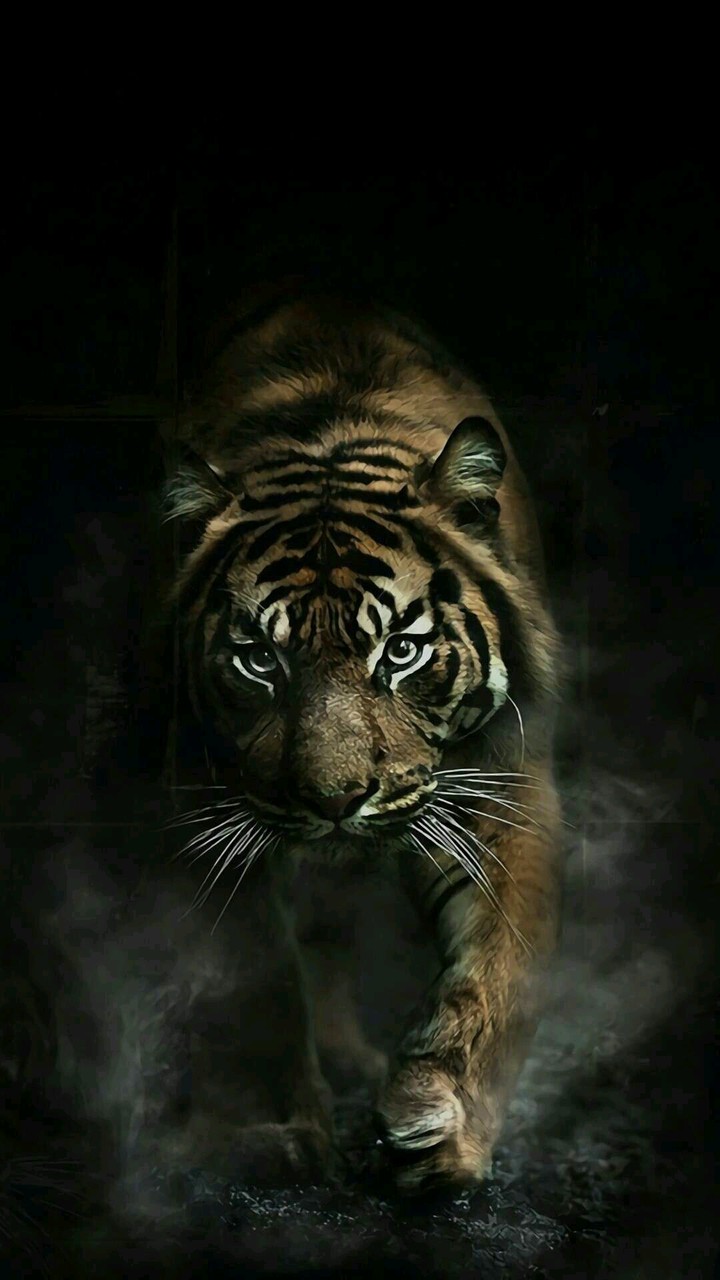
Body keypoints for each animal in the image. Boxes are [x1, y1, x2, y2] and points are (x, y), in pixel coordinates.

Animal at [157, 282, 563, 1194]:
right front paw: (281, 1133)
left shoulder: (501, 783)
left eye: (401, 651)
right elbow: (259, 976)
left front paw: (441, 1126)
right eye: (259, 659)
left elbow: (499, 967)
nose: (336, 799)